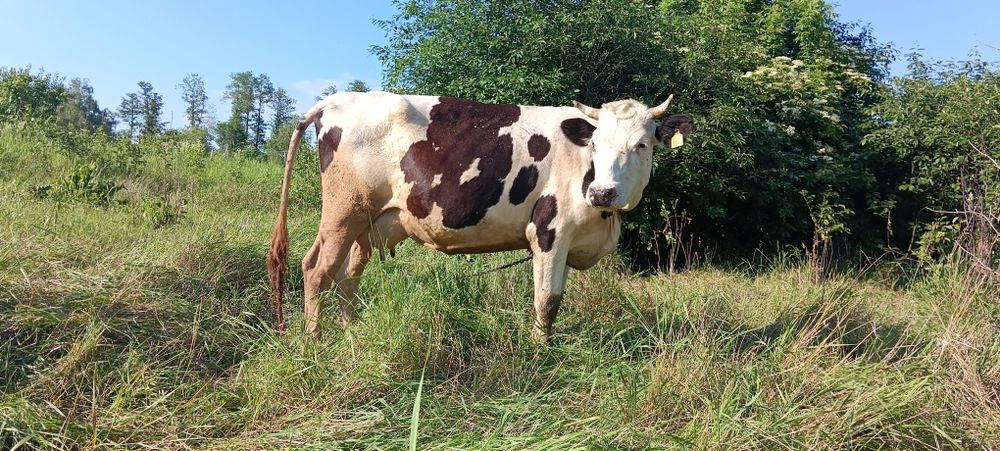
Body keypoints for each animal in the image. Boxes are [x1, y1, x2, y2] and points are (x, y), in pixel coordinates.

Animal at [267, 91, 693, 342]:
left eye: (642, 144)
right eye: (596, 143)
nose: (603, 191)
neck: (604, 217)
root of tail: (337, 98)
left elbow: (554, 298)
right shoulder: (549, 231)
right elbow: (547, 299)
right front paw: (540, 352)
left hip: (369, 224)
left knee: (346, 277)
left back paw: (352, 333)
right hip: (343, 212)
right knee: (316, 270)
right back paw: (315, 342)